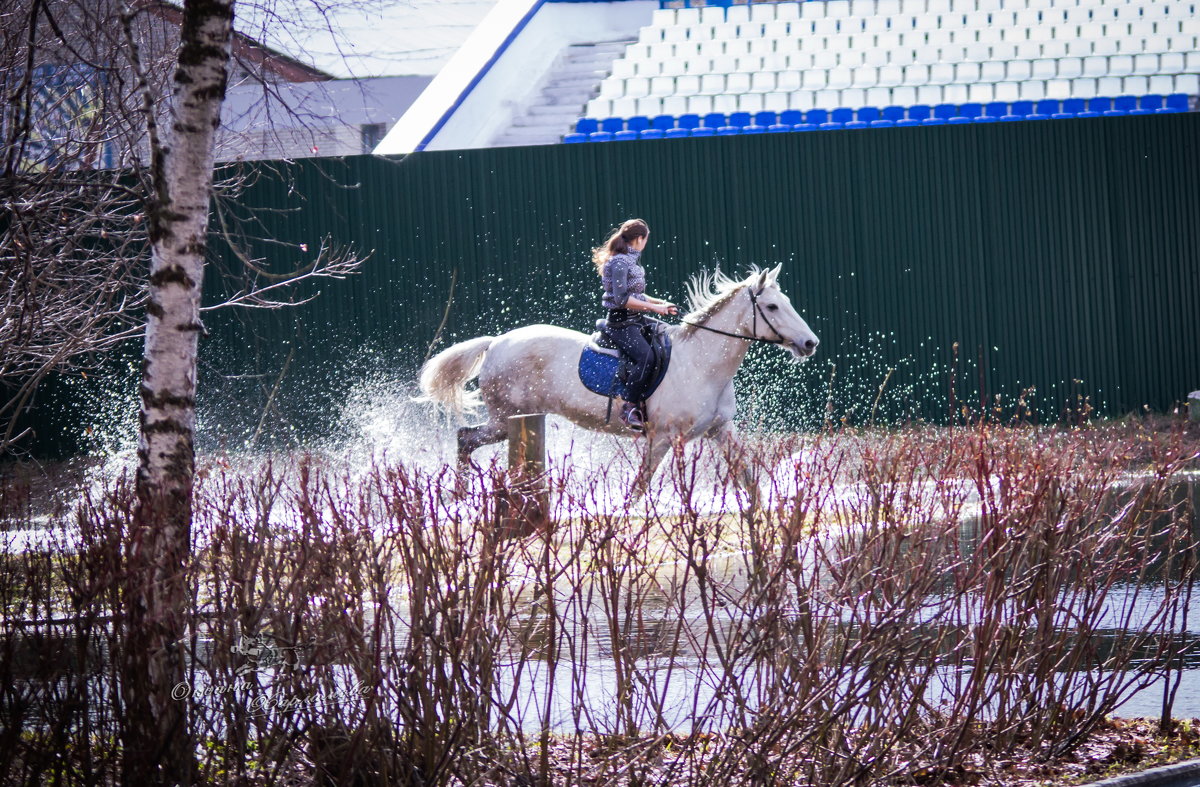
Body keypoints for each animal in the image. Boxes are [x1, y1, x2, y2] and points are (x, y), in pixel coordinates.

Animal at [417, 263, 820, 499]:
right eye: (772, 307)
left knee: (468, 439)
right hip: (507, 418)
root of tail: (496, 342)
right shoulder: (662, 438)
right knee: (466, 437)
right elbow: (638, 489)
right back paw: (459, 495)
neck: (702, 364)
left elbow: (749, 481)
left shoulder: (720, 430)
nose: (809, 343)